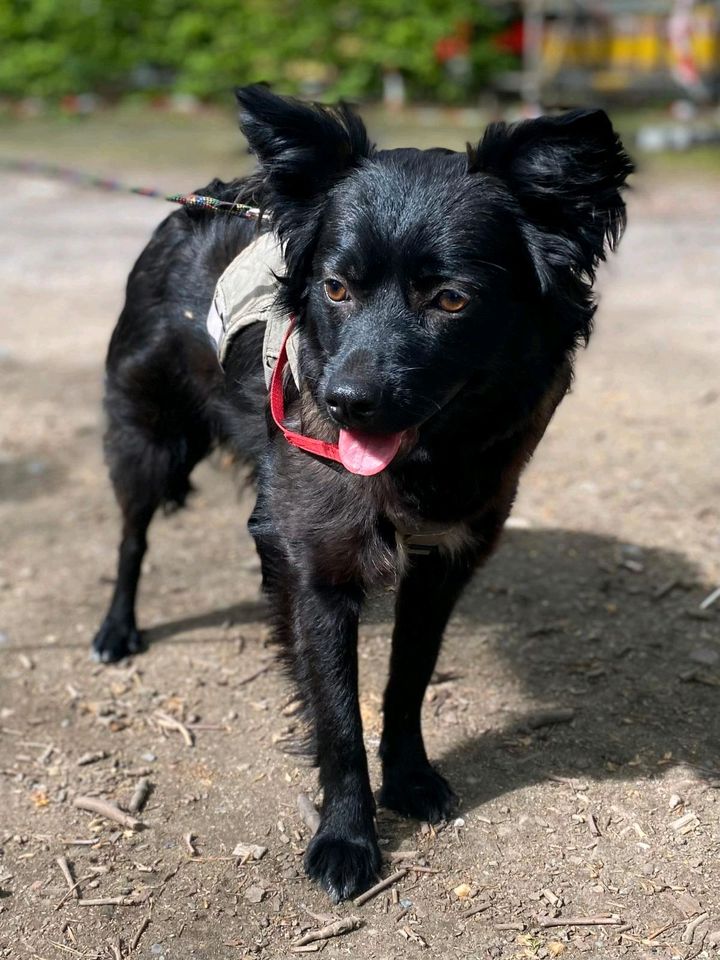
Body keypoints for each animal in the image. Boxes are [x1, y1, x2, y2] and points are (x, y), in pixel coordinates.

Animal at [93, 86, 632, 904]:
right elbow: (338, 715)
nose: (344, 403)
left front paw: (408, 779)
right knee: (132, 536)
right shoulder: (323, 569)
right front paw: (346, 837)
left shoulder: (444, 562)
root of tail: (194, 204)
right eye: (336, 288)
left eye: (452, 300)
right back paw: (117, 629)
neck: (423, 461)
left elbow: (406, 679)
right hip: (148, 439)